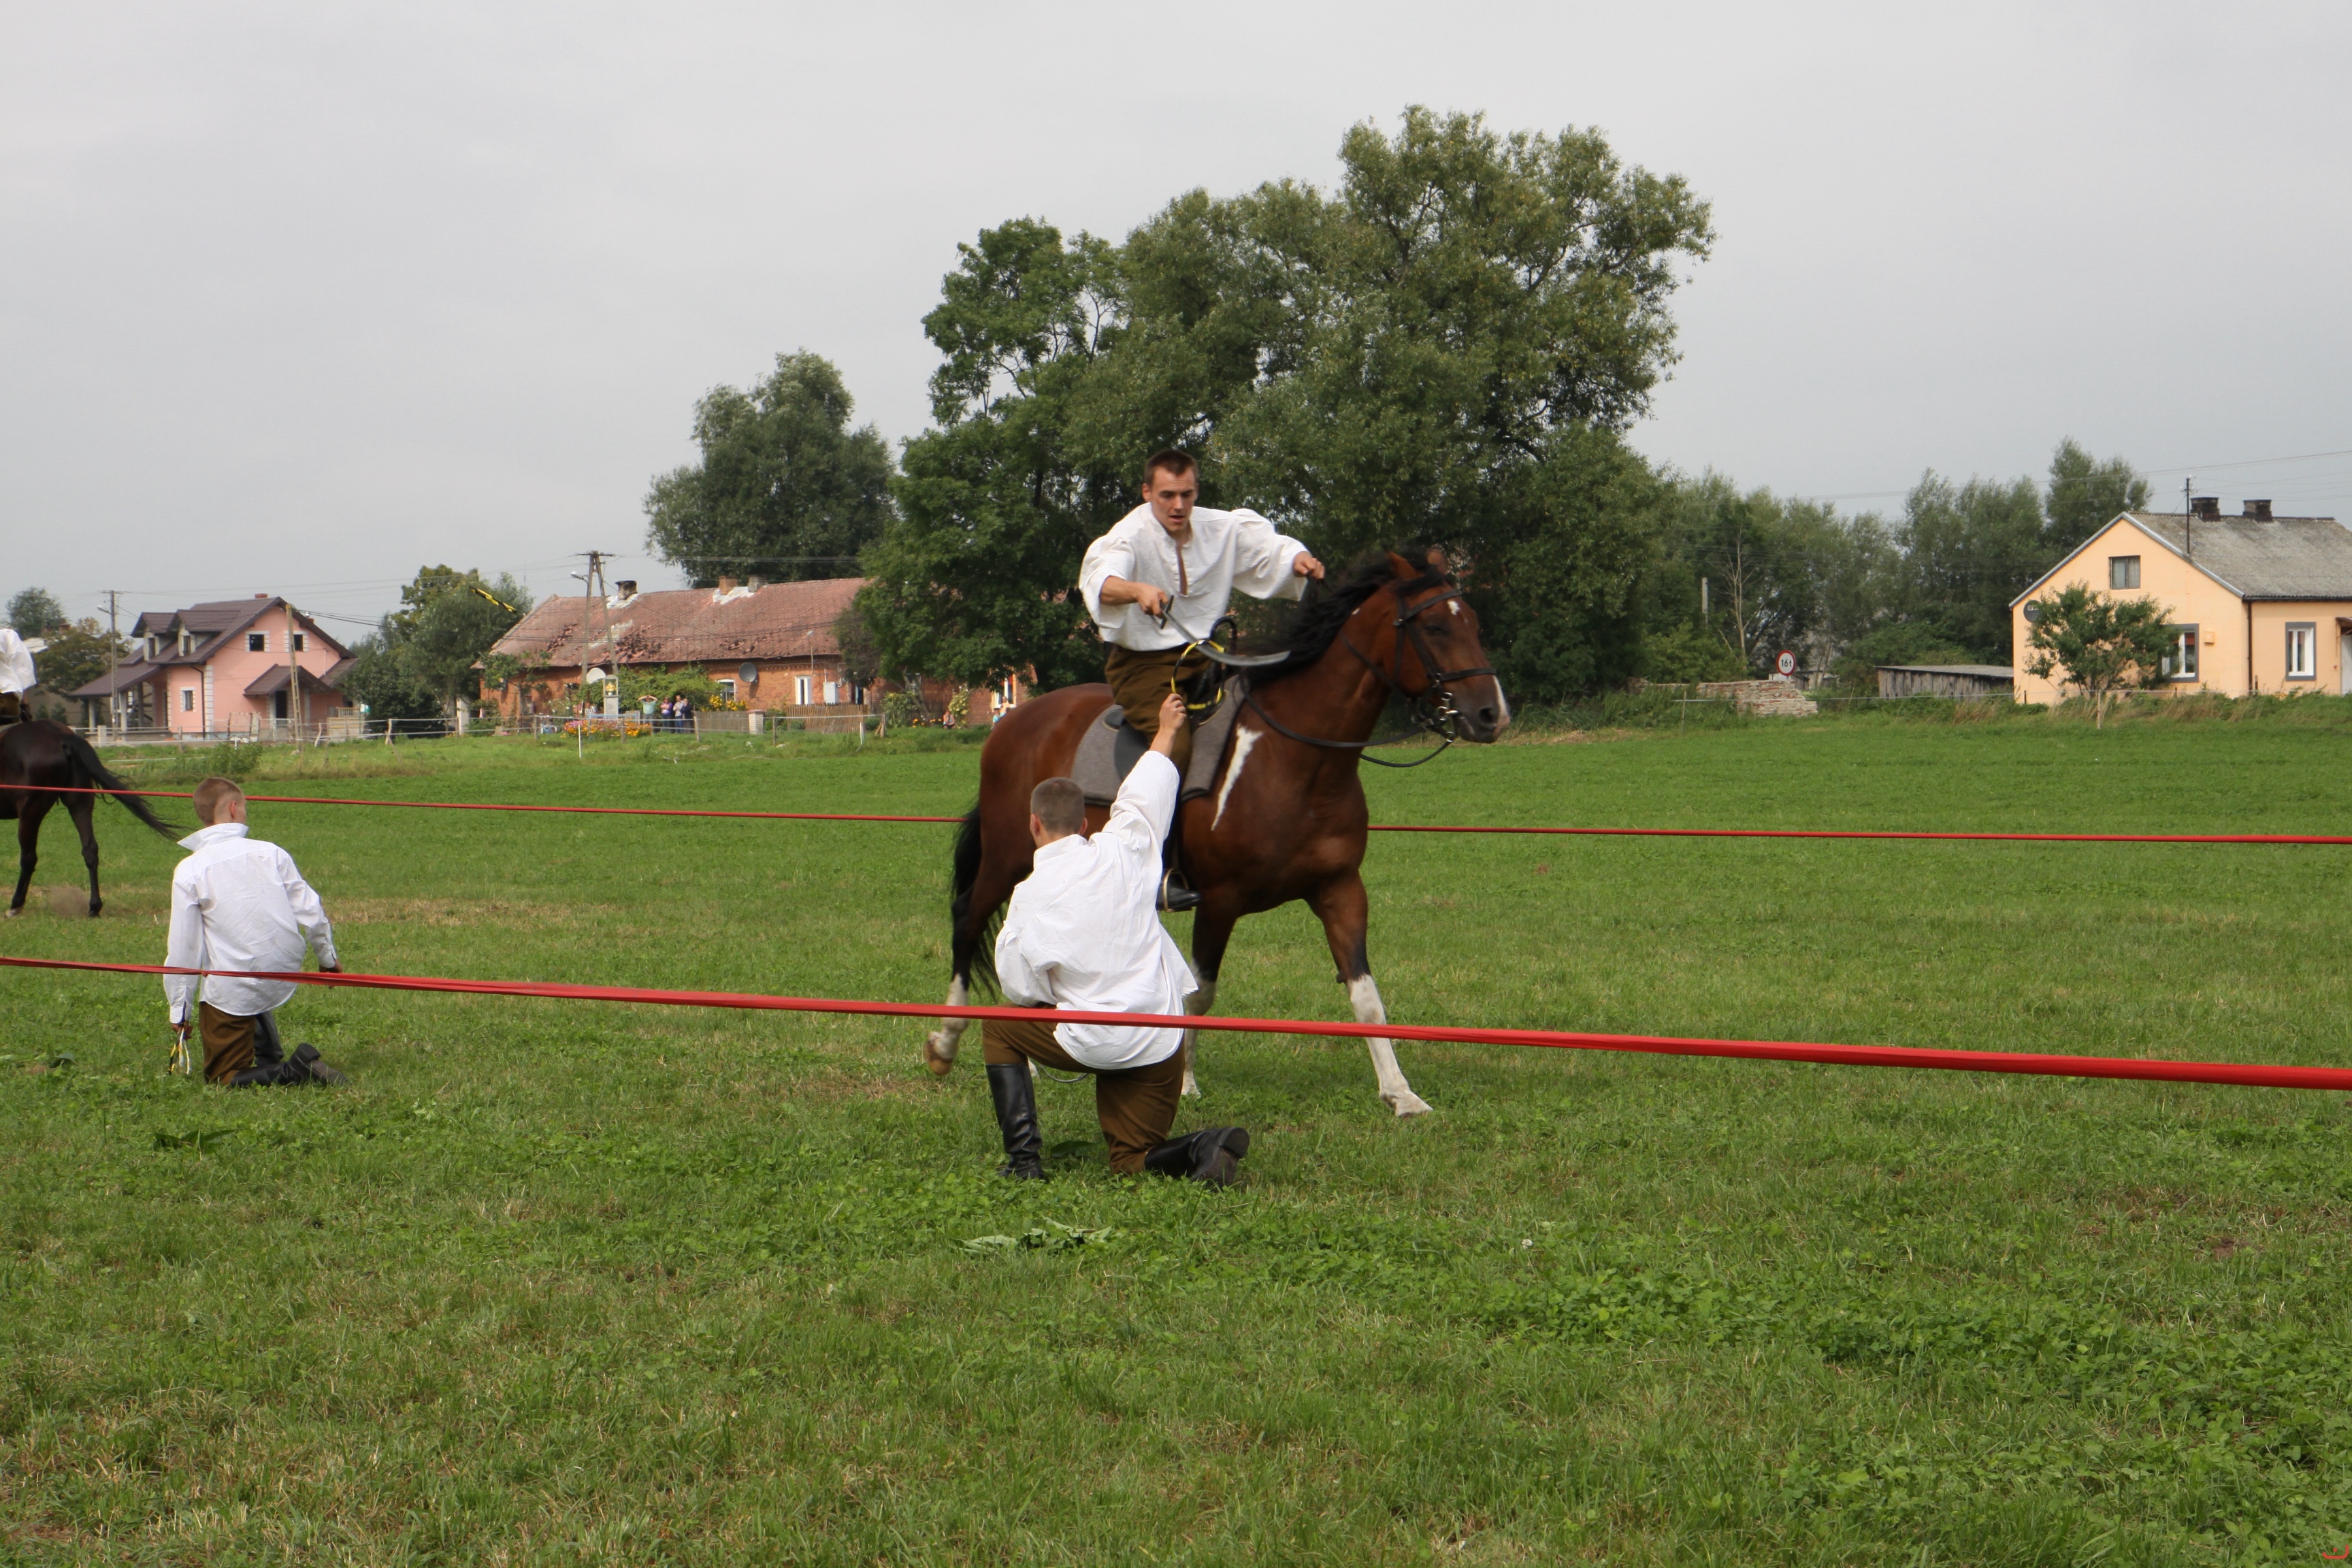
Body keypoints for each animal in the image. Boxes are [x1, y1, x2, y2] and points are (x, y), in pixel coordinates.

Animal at [0, 720, 180, 917]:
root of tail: (60, 736)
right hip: (80, 804)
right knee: (90, 849)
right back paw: (94, 906)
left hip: (30, 813)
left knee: (29, 858)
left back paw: (16, 905)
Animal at [922, 549, 1511, 1117]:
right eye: (1435, 626)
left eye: (1474, 622)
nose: (1492, 715)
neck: (1298, 760)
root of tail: (1013, 721)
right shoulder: (1220, 901)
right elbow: (1199, 996)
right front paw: (1182, 1082)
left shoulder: (1341, 890)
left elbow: (1366, 994)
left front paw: (1400, 1093)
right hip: (1006, 857)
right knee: (968, 921)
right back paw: (947, 1041)